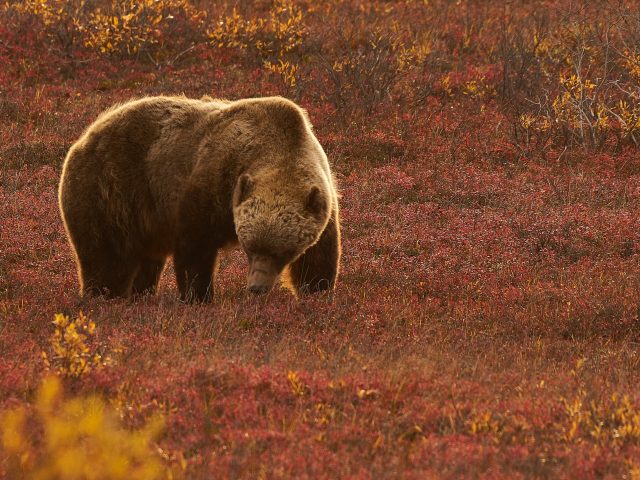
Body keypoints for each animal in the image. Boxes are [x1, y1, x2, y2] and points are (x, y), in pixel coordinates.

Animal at [58, 95, 341, 302]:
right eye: (250, 248)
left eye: (283, 251)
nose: (256, 287)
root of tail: (85, 136)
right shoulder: (213, 182)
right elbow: (194, 244)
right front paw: (199, 297)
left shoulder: (324, 200)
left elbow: (319, 256)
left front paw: (317, 291)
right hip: (110, 193)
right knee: (107, 257)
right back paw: (104, 296)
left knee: (146, 263)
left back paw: (142, 295)